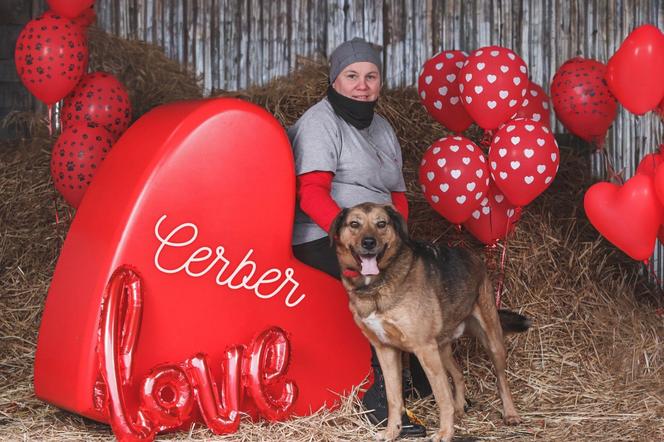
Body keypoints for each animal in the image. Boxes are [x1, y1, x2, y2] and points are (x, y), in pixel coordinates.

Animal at [330, 202, 532, 440]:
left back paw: (510, 413)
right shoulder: (385, 349)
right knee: (458, 374)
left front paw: (445, 433)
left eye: (381, 224)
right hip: (442, 348)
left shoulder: (424, 348)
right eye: (354, 224)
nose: (369, 242)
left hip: (490, 340)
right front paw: (392, 432)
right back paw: (459, 408)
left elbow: (442, 396)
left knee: (501, 378)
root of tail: (473, 255)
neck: (374, 287)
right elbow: (393, 397)